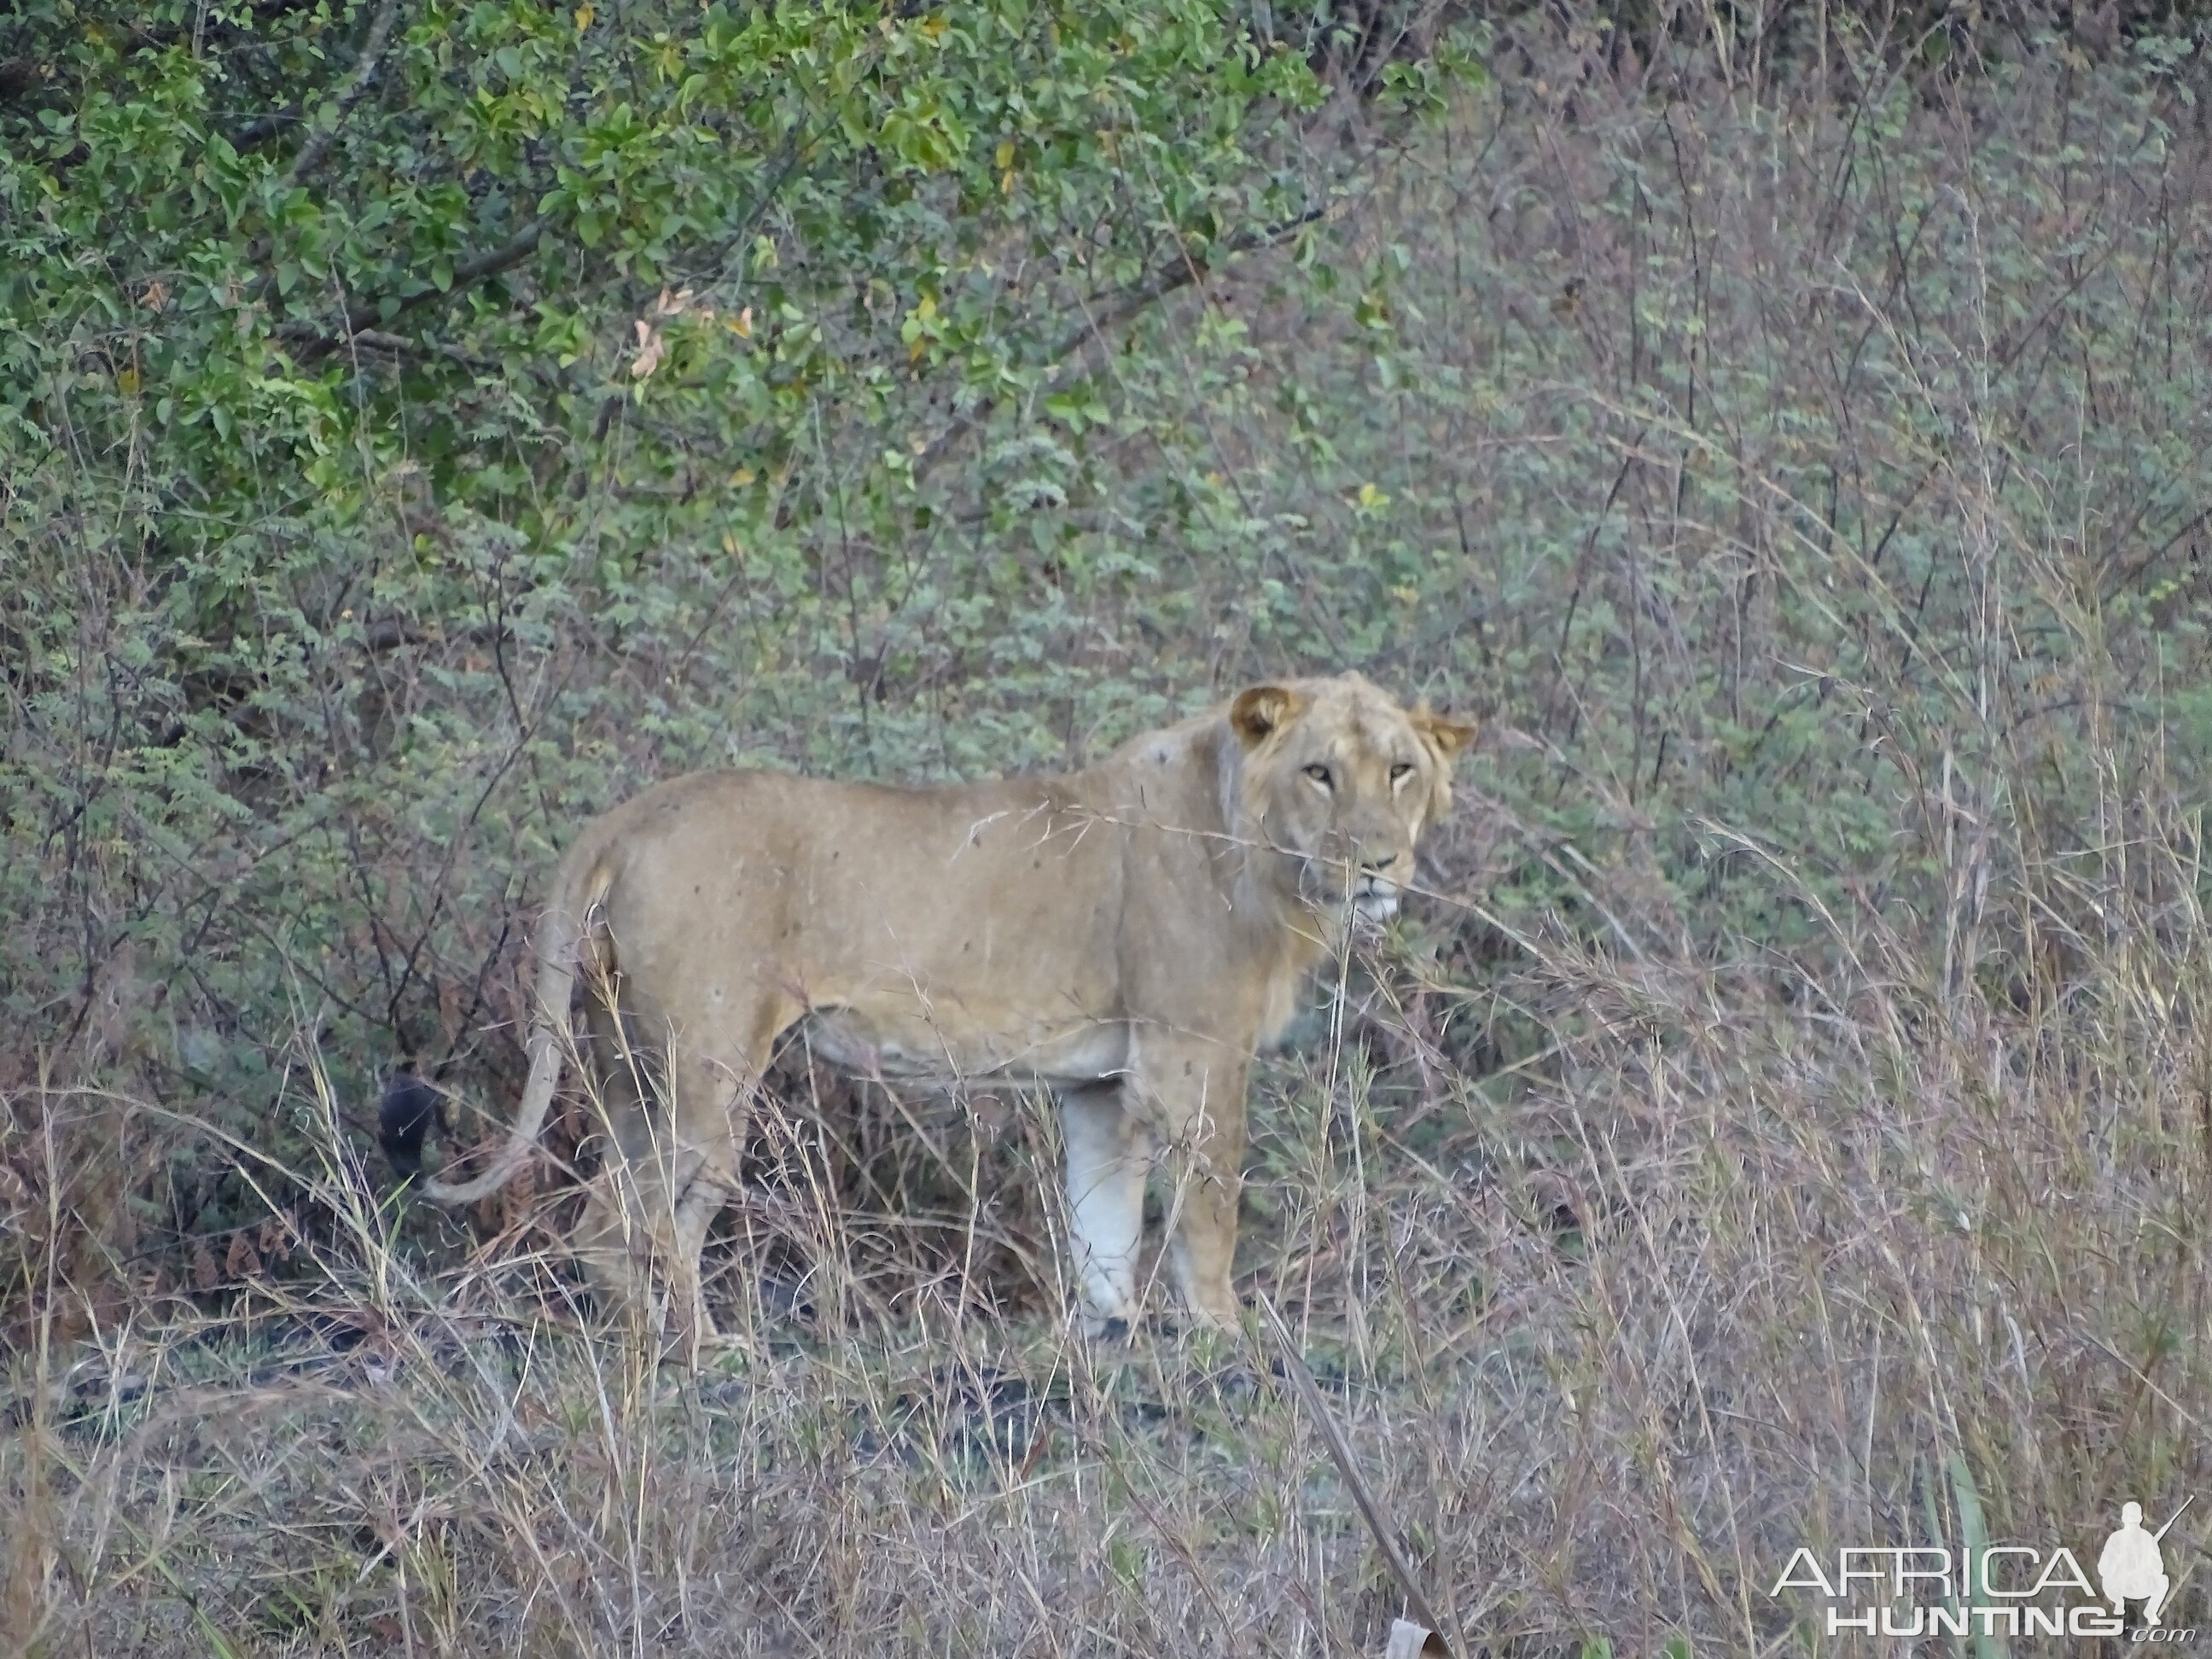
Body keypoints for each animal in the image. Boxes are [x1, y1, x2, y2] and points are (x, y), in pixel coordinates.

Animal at [389, 677, 1477, 1353]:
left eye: (1401, 771)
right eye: (1320, 772)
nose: (1378, 863)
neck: (1265, 858)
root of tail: (630, 814)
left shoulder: (1103, 1081)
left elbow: (1103, 1222)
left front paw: (1110, 1336)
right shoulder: (1192, 1054)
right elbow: (1207, 1209)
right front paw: (1222, 1333)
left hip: (625, 1067)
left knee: (617, 1217)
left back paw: (659, 1350)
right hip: (709, 1068)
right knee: (643, 1221)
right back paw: (701, 1353)